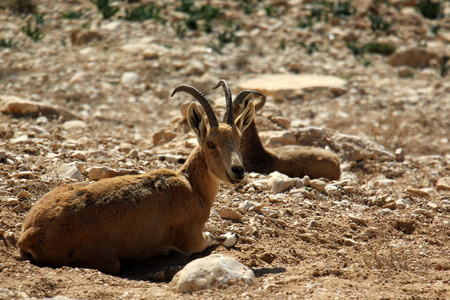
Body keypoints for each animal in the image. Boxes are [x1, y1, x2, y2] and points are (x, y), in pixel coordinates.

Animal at [17, 79, 255, 274]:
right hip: (106, 260)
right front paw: (232, 235)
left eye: (240, 140)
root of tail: (30, 234)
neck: (192, 186)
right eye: (210, 144)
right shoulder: (191, 239)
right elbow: (215, 238)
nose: (237, 170)